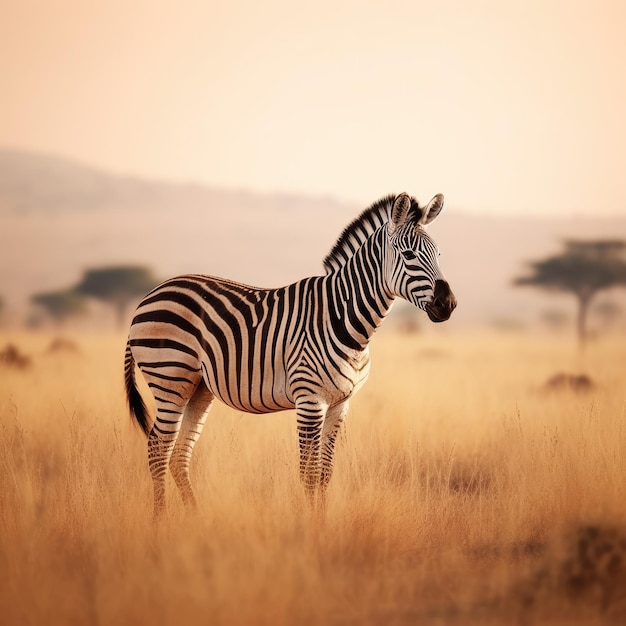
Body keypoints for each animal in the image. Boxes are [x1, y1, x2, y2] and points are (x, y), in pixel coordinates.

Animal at [123, 193, 454, 516]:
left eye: (438, 255)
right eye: (409, 255)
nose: (448, 304)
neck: (343, 317)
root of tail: (151, 294)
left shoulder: (340, 404)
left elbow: (325, 473)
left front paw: (322, 523)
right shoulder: (310, 400)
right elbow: (309, 473)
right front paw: (309, 526)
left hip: (198, 387)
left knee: (179, 453)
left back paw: (195, 519)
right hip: (170, 377)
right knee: (158, 448)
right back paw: (161, 521)